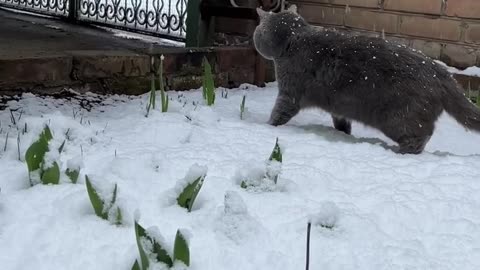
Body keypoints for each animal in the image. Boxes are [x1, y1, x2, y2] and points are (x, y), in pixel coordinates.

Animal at [253, 7, 480, 154]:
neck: (293, 39)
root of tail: (440, 71)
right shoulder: (338, 105)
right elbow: (341, 121)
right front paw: (343, 134)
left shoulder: (289, 93)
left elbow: (279, 114)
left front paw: (266, 127)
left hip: (399, 118)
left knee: (421, 135)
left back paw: (401, 152)